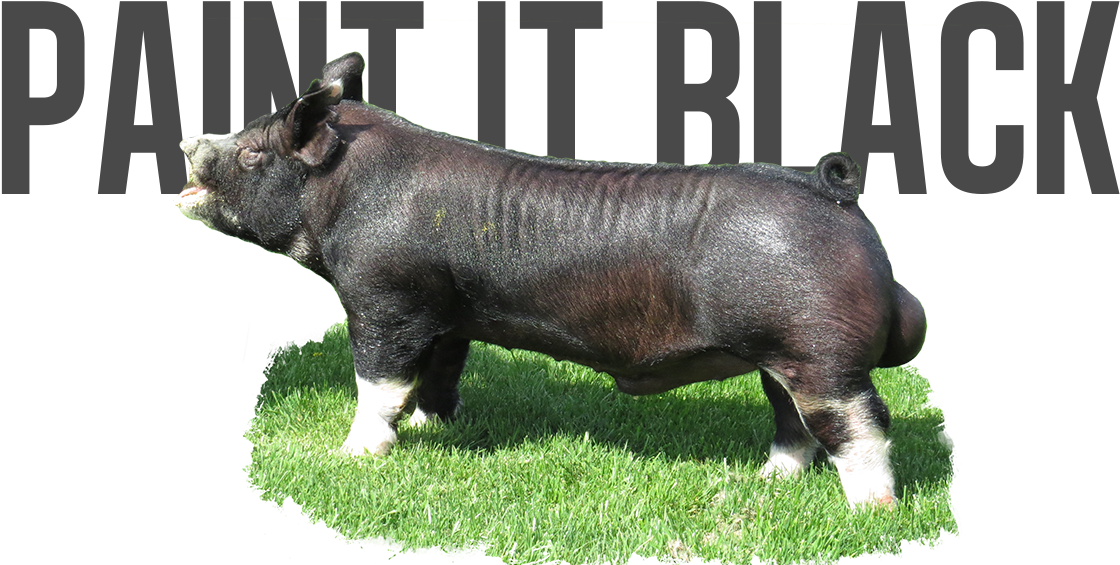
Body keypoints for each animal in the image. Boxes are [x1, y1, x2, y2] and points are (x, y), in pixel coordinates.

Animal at [175, 52, 926, 509]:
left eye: (252, 151)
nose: (188, 142)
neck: (345, 195)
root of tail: (837, 194)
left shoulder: (383, 298)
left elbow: (377, 382)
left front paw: (355, 453)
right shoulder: (446, 312)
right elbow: (439, 372)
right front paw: (430, 426)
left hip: (820, 350)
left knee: (861, 420)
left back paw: (872, 512)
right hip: (781, 353)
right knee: (793, 419)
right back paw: (767, 479)